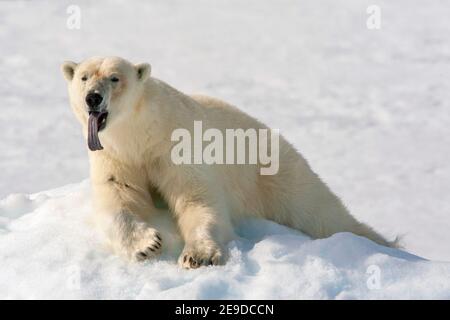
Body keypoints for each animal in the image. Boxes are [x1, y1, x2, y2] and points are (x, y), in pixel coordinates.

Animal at [62, 57, 394, 268]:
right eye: (84, 77)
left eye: (114, 78)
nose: (93, 98)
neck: (140, 134)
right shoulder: (114, 156)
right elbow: (117, 198)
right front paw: (146, 244)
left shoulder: (176, 145)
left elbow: (197, 199)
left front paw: (198, 255)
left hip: (273, 171)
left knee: (317, 211)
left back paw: (382, 242)